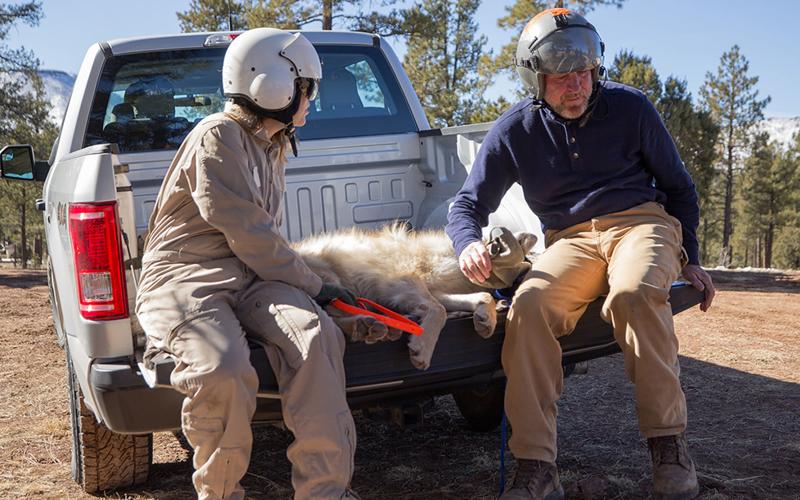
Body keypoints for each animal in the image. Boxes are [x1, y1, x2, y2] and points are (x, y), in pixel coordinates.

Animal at [292, 225, 537, 370]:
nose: (532, 236)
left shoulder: (434, 290)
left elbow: (482, 296)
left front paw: (486, 319)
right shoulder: (403, 282)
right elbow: (438, 311)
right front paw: (423, 348)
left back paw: (374, 325)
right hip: (329, 277)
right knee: (328, 316)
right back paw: (368, 325)